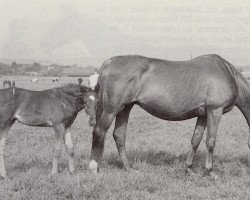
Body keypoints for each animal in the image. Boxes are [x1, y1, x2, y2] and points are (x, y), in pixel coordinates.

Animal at [89, 54, 250, 176]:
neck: (228, 74)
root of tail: (109, 62)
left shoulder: (203, 115)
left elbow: (195, 140)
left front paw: (189, 168)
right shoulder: (215, 111)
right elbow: (211, 141)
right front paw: (210, 172)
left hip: (125, 108)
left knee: (119, 135)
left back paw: (130, 168)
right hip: (111, 110)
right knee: (99, 131)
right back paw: (93, 168)